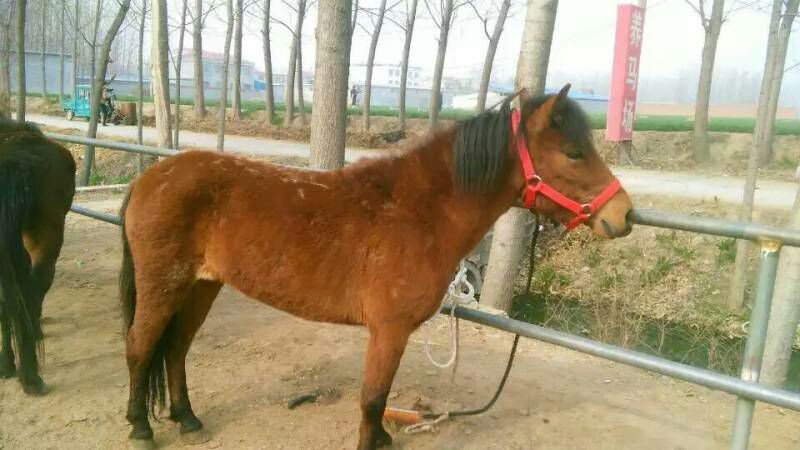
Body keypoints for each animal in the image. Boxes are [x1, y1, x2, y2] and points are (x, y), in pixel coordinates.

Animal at [119, 85, 634, 450]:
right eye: (574, 152)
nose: (624, 215)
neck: (417, 211)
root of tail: (150, 177)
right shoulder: (389, 330)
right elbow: (372, 399)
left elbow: (380, 400)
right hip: (164, 283)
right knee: (141, 346)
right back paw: (141, 428)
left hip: (201, 286)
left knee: (176, 349)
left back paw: (187, 419)